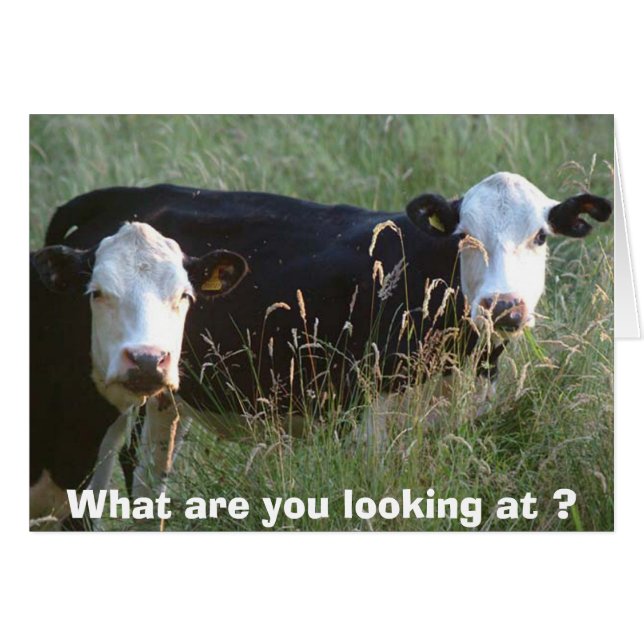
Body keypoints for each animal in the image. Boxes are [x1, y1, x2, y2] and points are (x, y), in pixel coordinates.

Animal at [32, 172, 611, 522]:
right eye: (465, 235)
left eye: (540, 236)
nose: (503, 306)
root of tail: (124, 193)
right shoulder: (371, 420)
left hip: (164, 400)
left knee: (152, 484)